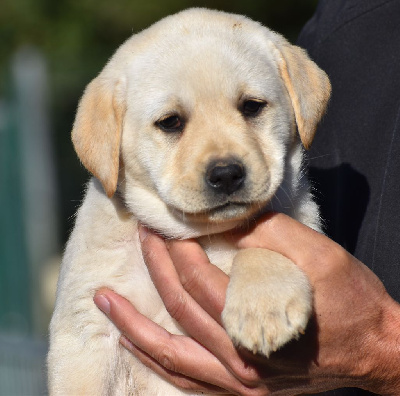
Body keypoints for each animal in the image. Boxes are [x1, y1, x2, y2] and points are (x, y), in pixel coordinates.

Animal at [48, 7, 332, 394]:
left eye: (252, 107)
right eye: (170, 122)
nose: (226, 174)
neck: (204, 236)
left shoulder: (299, 221)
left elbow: (265, 239)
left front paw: (263, 308)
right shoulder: (86, 327)